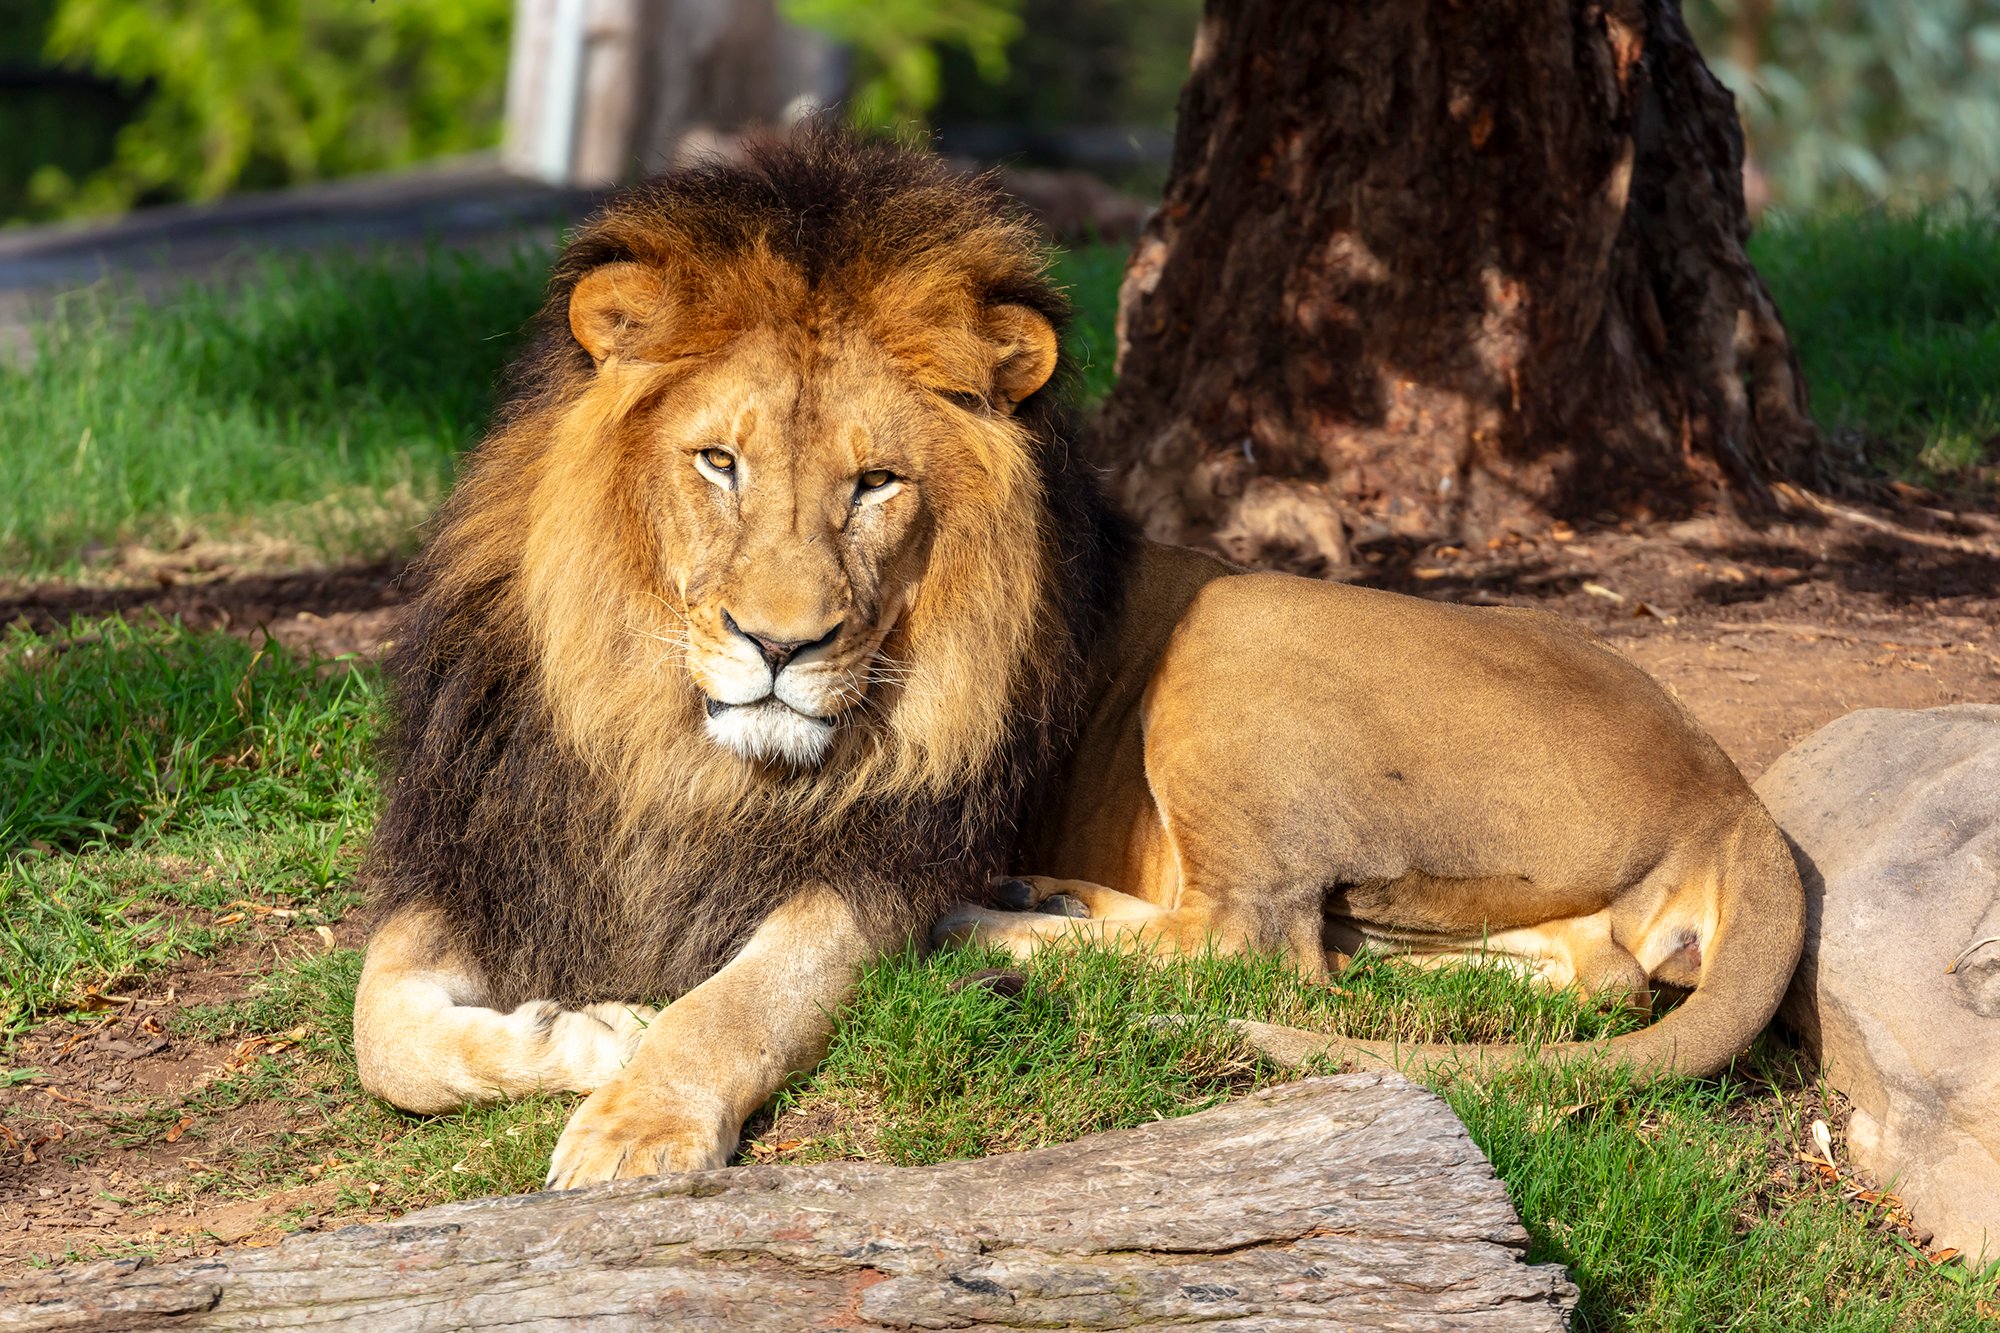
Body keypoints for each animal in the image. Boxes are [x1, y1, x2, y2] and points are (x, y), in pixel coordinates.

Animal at [354, 129, 1804, 1190]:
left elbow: (739, 1002)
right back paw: (1044, 906)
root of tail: (1728, 790)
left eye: (876, 484)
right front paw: (583, 1030)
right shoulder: (482, 846)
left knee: (1255, 948)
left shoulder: (868, 868)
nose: (780, 645)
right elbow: (384, 1031)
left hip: (1237, 633)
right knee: (1567, 969)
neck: (669, 742)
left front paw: (636, 1121)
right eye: (719, 461)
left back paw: (992, 932)